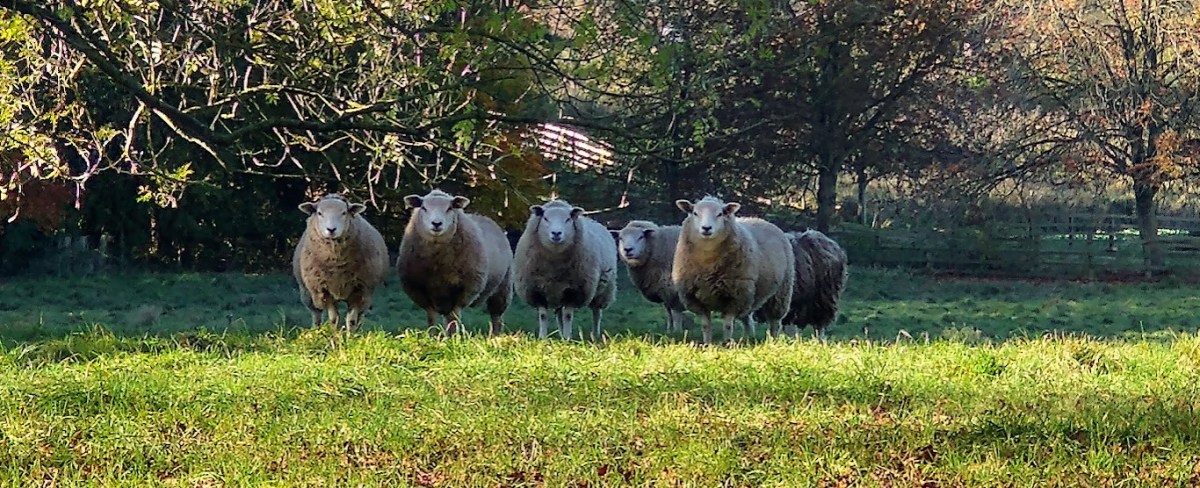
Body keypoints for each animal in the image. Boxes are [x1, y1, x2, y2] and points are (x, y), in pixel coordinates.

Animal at [292, 193, 390, 332]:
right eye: (319, 213)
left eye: (344, 212)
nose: (331, 229)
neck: (336, 263)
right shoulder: (324, 290)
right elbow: (333, 319)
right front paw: (334, 336)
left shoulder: (360, 290)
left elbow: (352, 320)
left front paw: (351, 337)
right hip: (308, 292)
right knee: (316, 313)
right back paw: (317, 331)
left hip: (366, 296)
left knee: (360, 315)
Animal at [395, 189, 514, 336]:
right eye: (423, 208)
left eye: (449, 208)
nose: (436, 223)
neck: (437, 261)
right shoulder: (420, 290)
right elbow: (432, 317)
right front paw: (433, 336)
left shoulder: (463, 290)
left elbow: (453, 317)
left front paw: (452, 337)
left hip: (503, 286)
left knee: (496, 316)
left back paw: (495, 336)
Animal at [514, 199, 618, 341]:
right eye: (545, 218)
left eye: (568, 219)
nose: (556, 233)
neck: (554, 262)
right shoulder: (536, 290)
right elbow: (543, 316)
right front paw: (542, 338)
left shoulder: (574, 291)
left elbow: (568, 316)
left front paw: (568, 338)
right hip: (557, 293)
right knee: (559, 314)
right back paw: (561, 334)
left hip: (603, 290)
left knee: (596, 312)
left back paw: (595, 335)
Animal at [672, 196, 795, 345]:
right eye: (695, 213)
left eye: (720, 214)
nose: (706, 228)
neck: (708, 263)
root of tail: (761, 220)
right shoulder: (695, 299)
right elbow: (706, 325)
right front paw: (707, 344)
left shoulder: (735, 297)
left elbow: (728, 325)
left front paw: (726, 343)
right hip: (750, 294)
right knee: (748, 319)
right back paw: (748, 339)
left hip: (780, 292)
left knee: (775, 321)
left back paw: (773, 341)